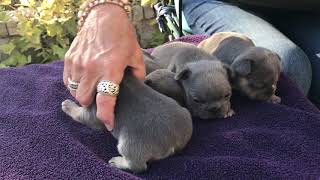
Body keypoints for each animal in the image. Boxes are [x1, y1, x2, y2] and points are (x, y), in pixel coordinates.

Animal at [62, 69, 192, 173]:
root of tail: (173, 141)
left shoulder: (96, 112)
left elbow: (80, 114)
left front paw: (68, 105)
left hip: (130, 144)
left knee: (137, 166)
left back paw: (117, 162)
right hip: (185, 115)